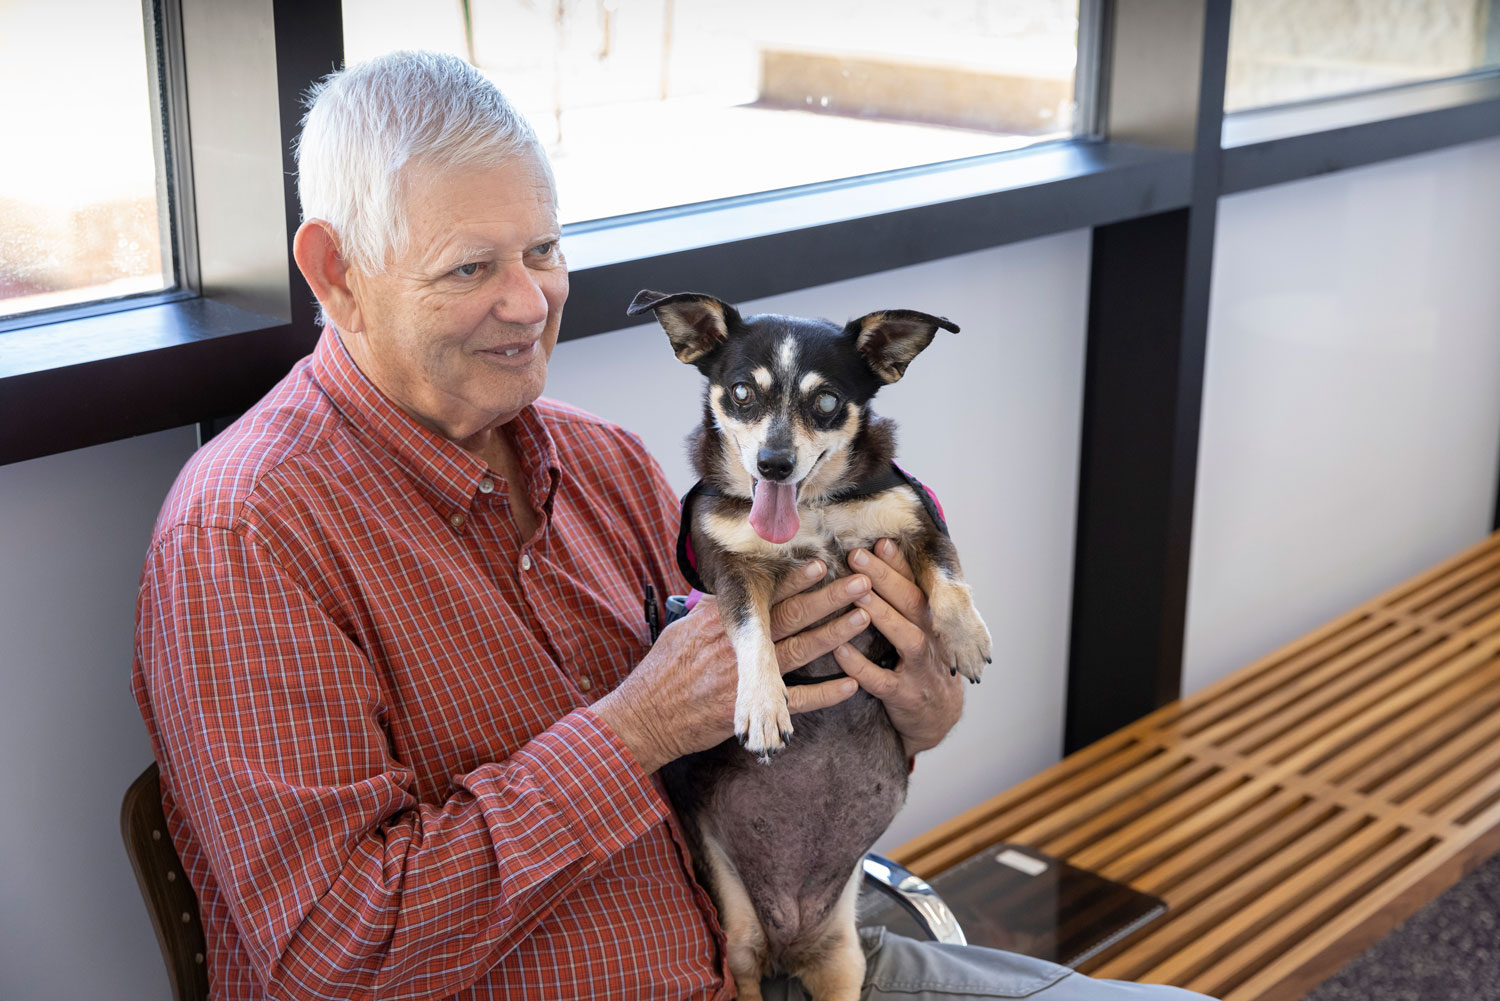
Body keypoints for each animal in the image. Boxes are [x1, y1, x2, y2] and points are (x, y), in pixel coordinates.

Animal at [627, 285, 990, 996]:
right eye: (742, 392)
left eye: (826, 402)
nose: (774, 463)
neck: (814, 510)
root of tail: (786, 944)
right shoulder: (731, 569)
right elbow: (751, 633)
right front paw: (764, 706)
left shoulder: (915, 522)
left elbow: (949, 575)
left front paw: (963, 636)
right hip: (738, 941)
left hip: (843, 959)